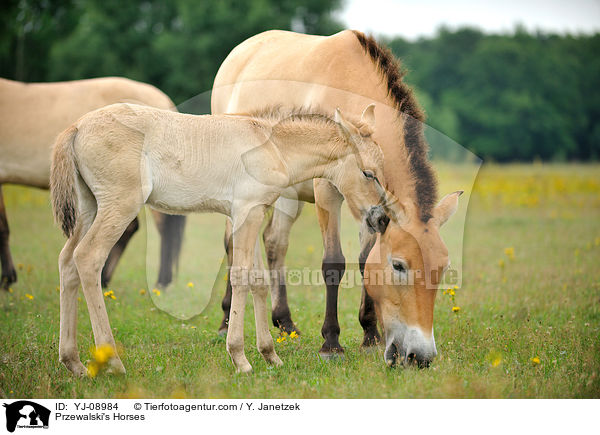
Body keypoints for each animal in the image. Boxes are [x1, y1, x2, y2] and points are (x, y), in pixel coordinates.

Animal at [0, 77, 185, 292]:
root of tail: (163, 99)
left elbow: (2, 228)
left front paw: (7, 280)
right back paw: (105, 279)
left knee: (163, 231)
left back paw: (159, 282)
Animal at [49, 102, 392, 374]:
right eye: (367, 173)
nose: (382, 219)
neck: (271, 145)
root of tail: (77, 127)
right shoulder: (247, 212)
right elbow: (240, 277)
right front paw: (240, 358)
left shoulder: (250, 214)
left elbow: (258, 281)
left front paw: (270, 355)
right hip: (119, 206)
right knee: (88, 258)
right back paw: (113, 362)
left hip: (90, 207)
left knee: (67, 262)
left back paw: (73, 363)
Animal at [213, 29, 462, 366]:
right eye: (399, 266)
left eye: (443, 269)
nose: (419, 356)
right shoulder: (328, 192)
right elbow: (334, 263)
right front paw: (331, 342)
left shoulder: (370, 209)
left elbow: (364, 260)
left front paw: (370, 334)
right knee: (232, 243)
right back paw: (226, 322)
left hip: (287, 195)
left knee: (275, 242)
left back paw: (285, 323)